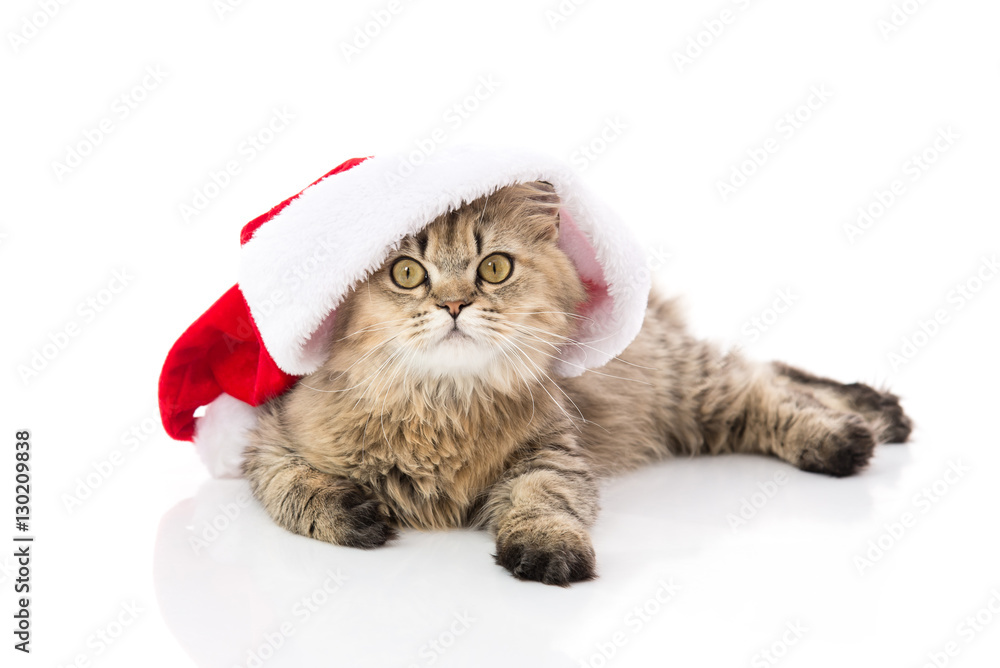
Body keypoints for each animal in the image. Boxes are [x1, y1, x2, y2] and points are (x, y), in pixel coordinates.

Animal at [242, 180, 916, 588]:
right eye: (407, 274)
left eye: (494, 268)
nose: (455, 305)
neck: (442, 407)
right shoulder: (269, 440)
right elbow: (292, 488)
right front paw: (353, 513)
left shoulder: (554, 452)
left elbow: (542, 501)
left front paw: (547, 552)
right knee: (772, 374)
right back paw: (879, 413)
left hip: (692, 390)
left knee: (770, 389)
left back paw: (858, 428)